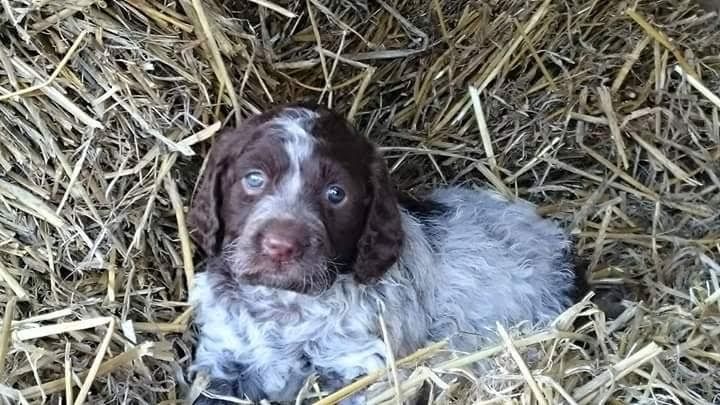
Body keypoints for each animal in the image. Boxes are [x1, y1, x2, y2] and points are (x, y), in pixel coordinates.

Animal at [184, 103, 584, 404]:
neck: (282, 306)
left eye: (336, 194)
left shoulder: (364, 369)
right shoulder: (222, 361)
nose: (281, 245)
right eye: (253, 178)